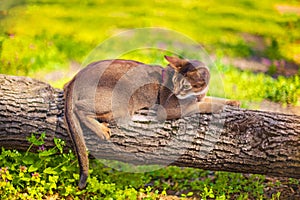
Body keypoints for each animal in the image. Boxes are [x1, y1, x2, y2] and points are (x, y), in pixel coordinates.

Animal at [63, 55, 239, 189]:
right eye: (174, 82)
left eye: (184, 85)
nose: (174, 91)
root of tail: (75, 78)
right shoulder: (170, 109)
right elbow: (203, 105)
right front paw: (218, 106)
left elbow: (211, 98)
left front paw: (233, 102)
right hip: (122, 104)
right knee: (79, 109)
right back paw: (101, 130)